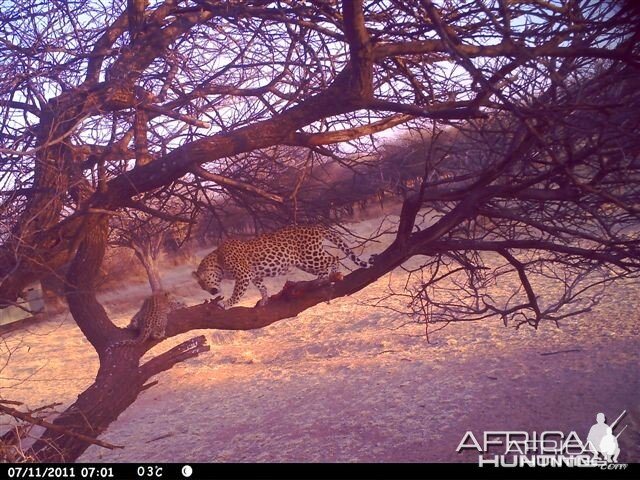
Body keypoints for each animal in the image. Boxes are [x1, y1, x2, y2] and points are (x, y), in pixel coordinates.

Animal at [192, 224, 372, 308]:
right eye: (201, 287)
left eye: (205, 282)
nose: (212, 292)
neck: (218, 260)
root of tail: (315, 226)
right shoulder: (255, 275)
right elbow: (262, 287)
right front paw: (264, 300)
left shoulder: (243, 275)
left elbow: (237, 293)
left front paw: (226, 303)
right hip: (304, 262)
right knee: (323, 267)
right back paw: (319, 281)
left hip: (310, 256)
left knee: (334, 258)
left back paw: (334, 276)